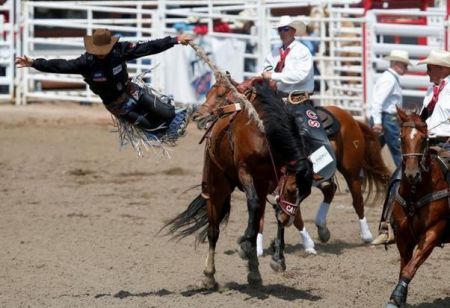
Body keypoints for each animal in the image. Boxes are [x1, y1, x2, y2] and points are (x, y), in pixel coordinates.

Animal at [162, 79, 312, 286]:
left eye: (306, 194)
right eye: (292, 189)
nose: (199, 115)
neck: (264, 130)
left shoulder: (271, 181)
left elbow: (273, 213)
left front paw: (277, 259)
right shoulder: (246, 172)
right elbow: (255, 204)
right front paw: (245, 245)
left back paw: (254, 271)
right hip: (216, 186)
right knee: (213, 231)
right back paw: (209, 275)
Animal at [386, 107, 450, 306]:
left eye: (424, 138)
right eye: (401, 137)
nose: (412, 174)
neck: (415, 193)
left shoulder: (433, 232)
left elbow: (410, 268)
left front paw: (397, 296)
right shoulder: (402, 235)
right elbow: (404, 266)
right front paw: (398, 299)